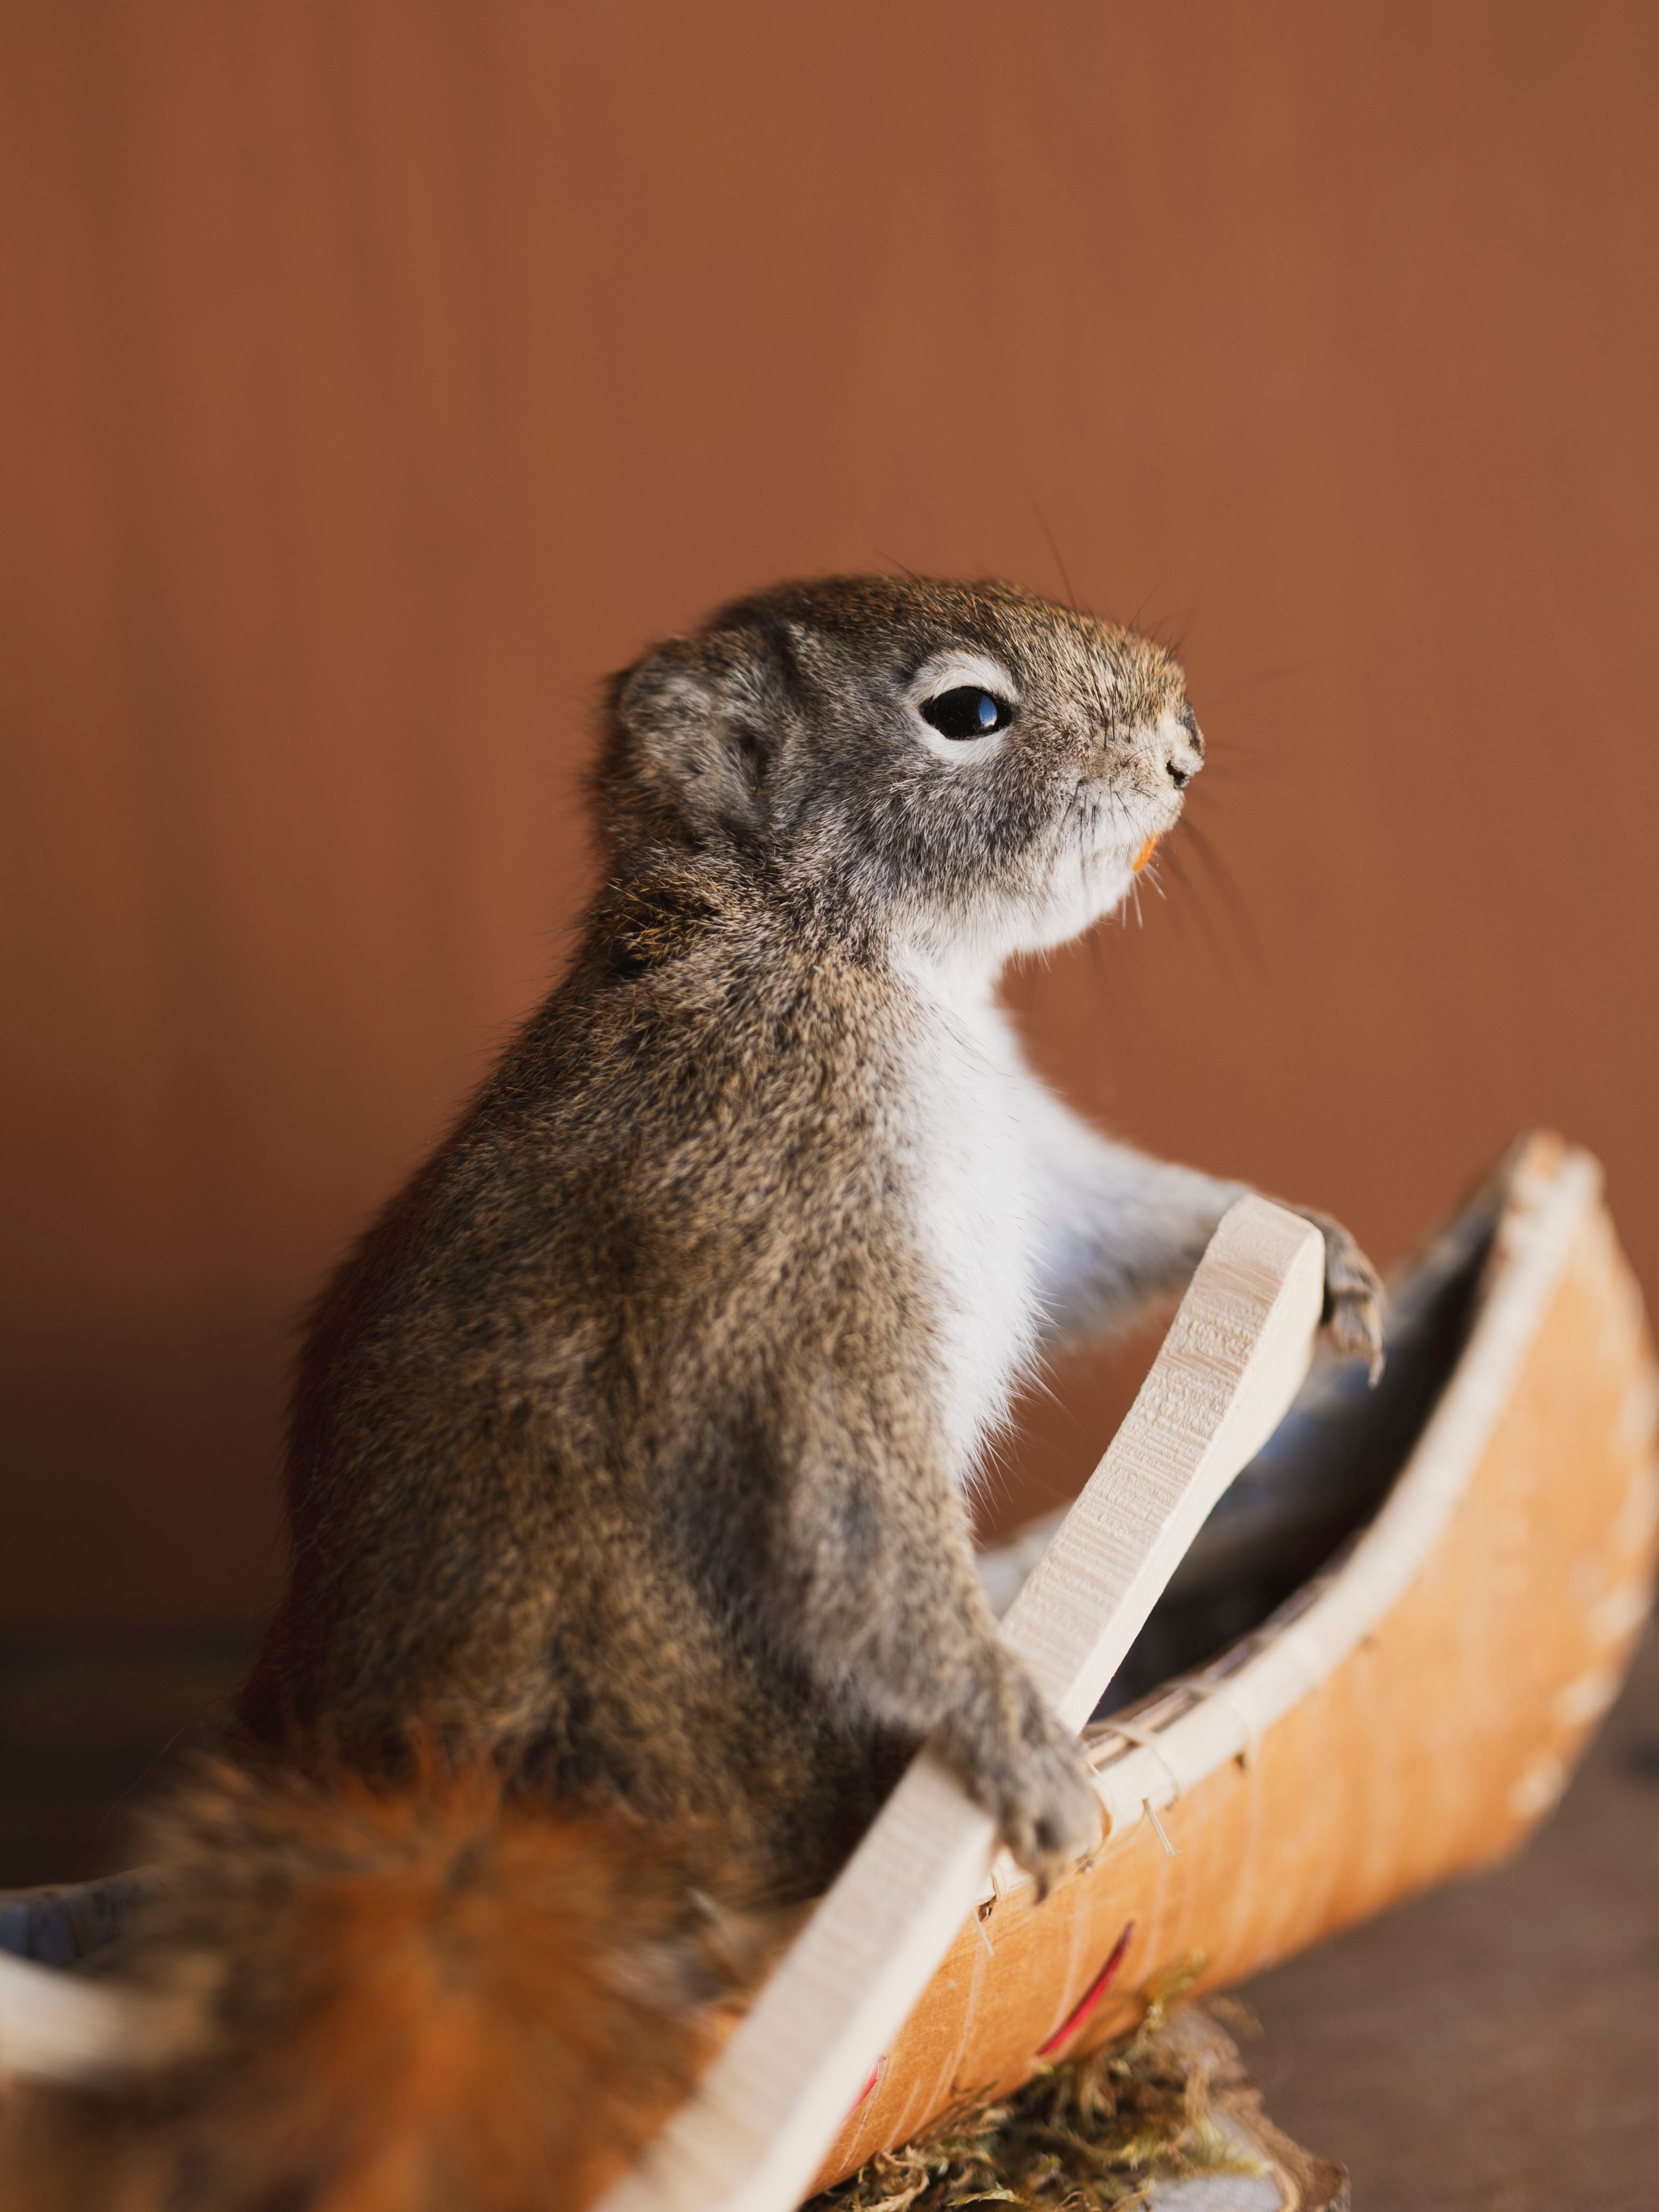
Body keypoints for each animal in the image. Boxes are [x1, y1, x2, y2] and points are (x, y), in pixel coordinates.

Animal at [0, 575, 1382, 2210]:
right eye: (967, 712)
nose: (1184, 747)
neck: (849, 960)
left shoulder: (1042, 1179)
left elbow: (1128, 1224)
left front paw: (1315, 1247)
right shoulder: (784, 1236)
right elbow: (850, 1512)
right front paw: (1010, 1743)